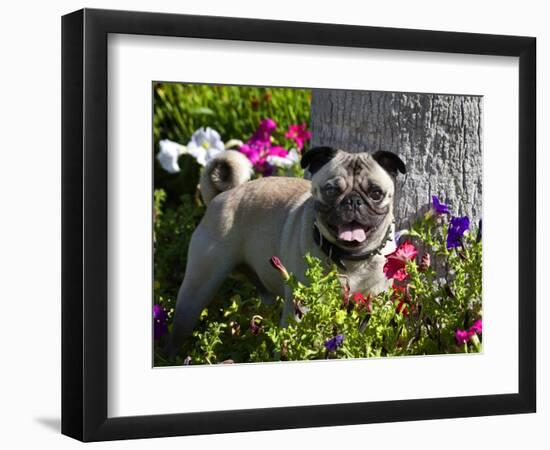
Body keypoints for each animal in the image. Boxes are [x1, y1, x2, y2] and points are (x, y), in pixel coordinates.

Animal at [166, 145, 408, 356]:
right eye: (330, 190)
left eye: (376, 193)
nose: (353, 201)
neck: (350, 259)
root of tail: (220, 196)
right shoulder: (302, 309)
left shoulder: (372, 304)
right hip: (197, 290)